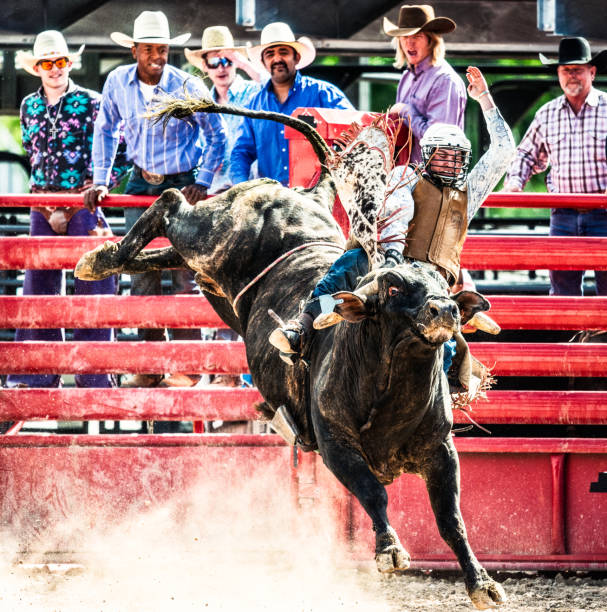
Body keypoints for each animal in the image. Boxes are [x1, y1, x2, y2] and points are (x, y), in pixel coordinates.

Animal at [76, 99, 508, 608]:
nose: (445, 309)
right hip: (210, 235)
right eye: (395, 286)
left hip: (212, 277)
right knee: (170, 203)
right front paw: (389, 551)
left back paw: (103, 256)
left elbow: (451, 519)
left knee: (165, 248)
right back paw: (100, 260)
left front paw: (482, 582)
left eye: (443, 284)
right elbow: (372, 495)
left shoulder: (440, 450)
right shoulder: (336, 446)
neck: (391, 389)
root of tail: (306, 196)